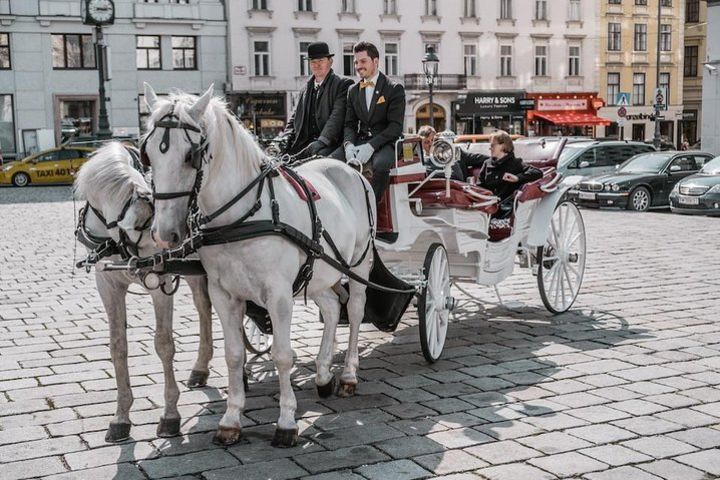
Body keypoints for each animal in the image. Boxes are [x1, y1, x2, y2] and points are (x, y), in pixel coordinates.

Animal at [74, 142, 214, 442]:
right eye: (144, 226)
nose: (168, 240)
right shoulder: (108, 286)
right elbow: (118, 347)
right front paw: (120, 417)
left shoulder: (159, 283)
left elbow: (164, 344)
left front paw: (170, 415)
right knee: (204, 307)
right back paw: (200, 368)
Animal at [142, 84, 376, 448]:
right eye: (148, 154)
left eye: (190, 155)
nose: (164, 233)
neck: (242, 215)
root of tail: (352, 169)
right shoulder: (223, 294)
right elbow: (234, 354)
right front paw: (231, 419)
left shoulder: (278, 295)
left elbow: (282, 354)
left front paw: (286, 421)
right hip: (319, 272)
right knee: (331, 307)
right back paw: (324, 374)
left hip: (360, 264)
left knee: (353, 310)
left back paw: (349, 374)